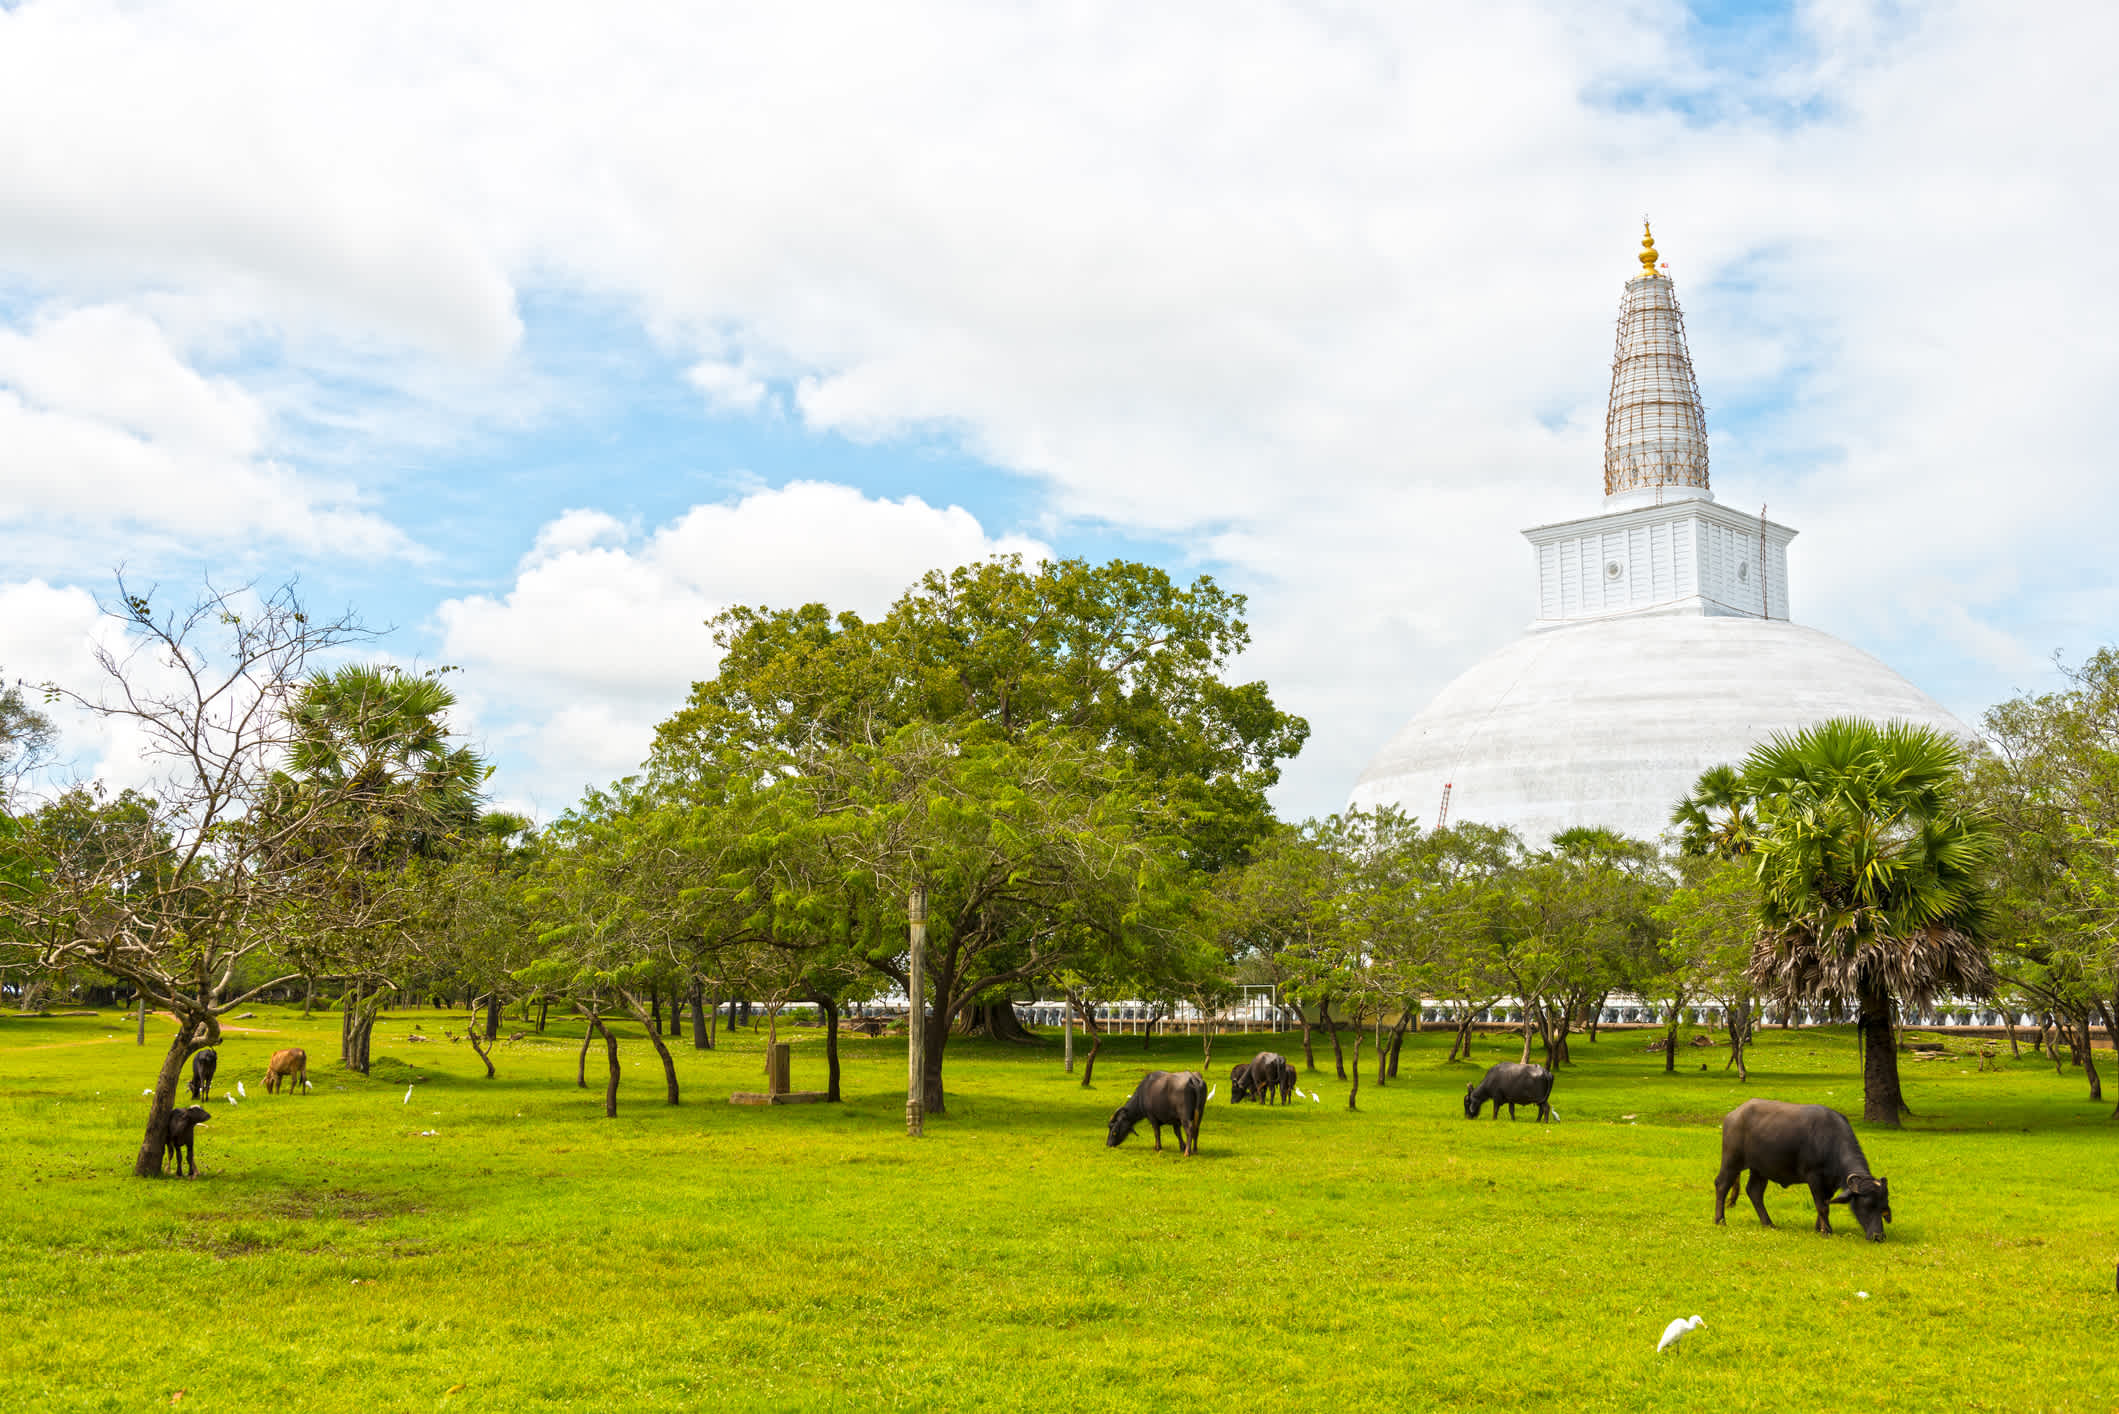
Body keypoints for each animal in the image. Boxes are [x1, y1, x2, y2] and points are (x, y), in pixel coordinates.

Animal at [1712, 1102, 1898, 1246]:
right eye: (1867, 1205)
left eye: (1883, 1208)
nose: (1878, 1237)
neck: (1830, 1143)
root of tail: (1733, 1115)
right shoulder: (1814, 1177)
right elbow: (1821, 1205)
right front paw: (1826, 1230)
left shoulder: (1830, 1183)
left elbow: (1825, 1203)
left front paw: (1819, 1228)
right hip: (1732, 1160)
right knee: (1722, 1184)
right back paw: (1720, 1220)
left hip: (1760, 1169)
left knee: (1754, 1191)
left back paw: (1768, 1223)